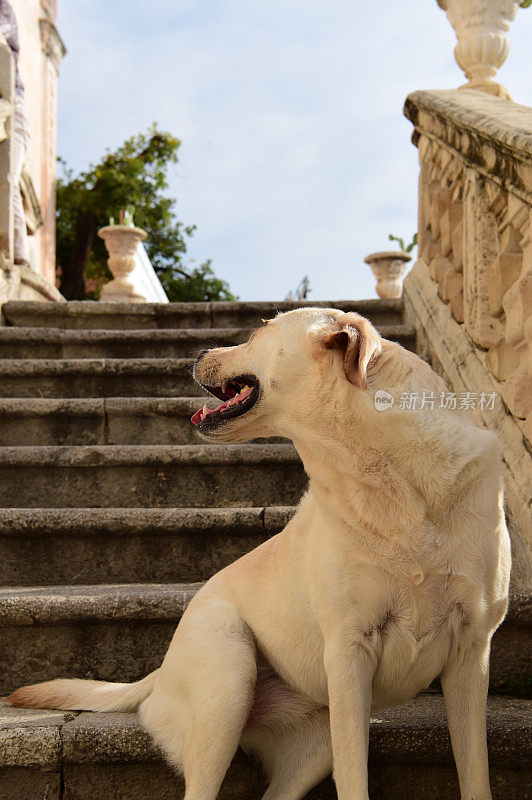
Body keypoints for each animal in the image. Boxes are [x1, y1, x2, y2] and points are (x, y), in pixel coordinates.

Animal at [9, 310, 512, 800]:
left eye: (260, 329)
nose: (199, 351)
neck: (389, 482)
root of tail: (160, 671)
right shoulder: (349, 652)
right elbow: (355, 781)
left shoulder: (472, 653)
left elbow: (476, 777)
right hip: (229, 680)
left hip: (316, 745)